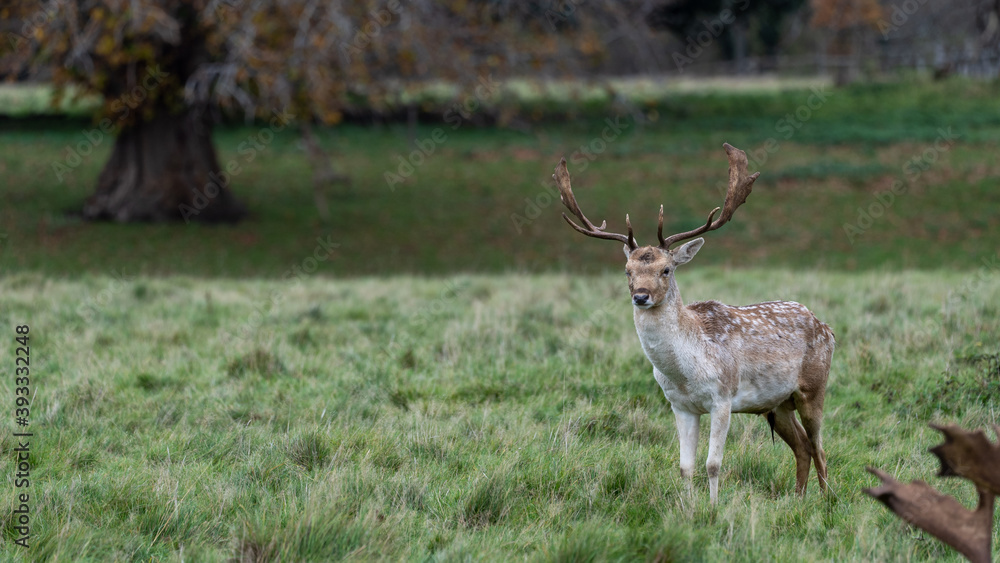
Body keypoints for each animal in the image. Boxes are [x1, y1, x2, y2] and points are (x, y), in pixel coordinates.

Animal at [553, 143, 834, 504]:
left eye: (666, 269)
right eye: (628, 271)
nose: (641, 296)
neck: (686, 371)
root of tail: (825, 326)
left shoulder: (723, 397)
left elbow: (713, 464)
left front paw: (713, 509)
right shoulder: (680, 405)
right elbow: (685, 467)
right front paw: (688, 509)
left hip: (814, 386)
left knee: (819, 447)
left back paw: (826, 500)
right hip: (776, 403)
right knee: (801, 447)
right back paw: (797, 499)